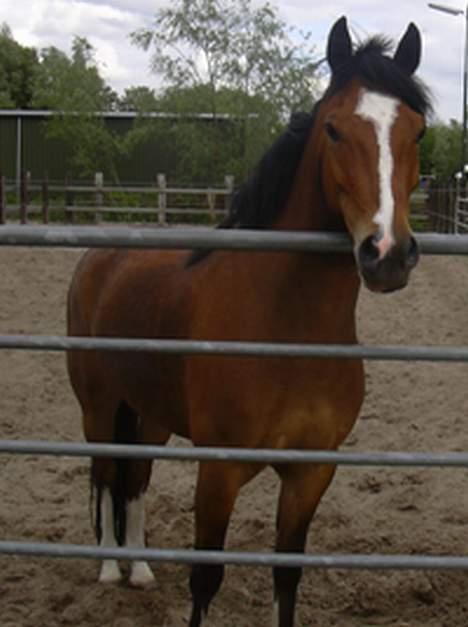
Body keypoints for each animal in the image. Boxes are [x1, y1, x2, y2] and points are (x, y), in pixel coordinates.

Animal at [66, 18, 432, 627]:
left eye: (419, 133)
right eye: (334, 129)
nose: (387, 254)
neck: (289, 330)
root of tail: (101, 258)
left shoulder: (310, 474)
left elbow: (286, 577)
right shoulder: (219, 473)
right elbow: (205, 580)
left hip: (149, 413)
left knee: (135, 480)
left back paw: (139, 570)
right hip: (98, 406)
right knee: (104, 475)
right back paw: (107, 570)